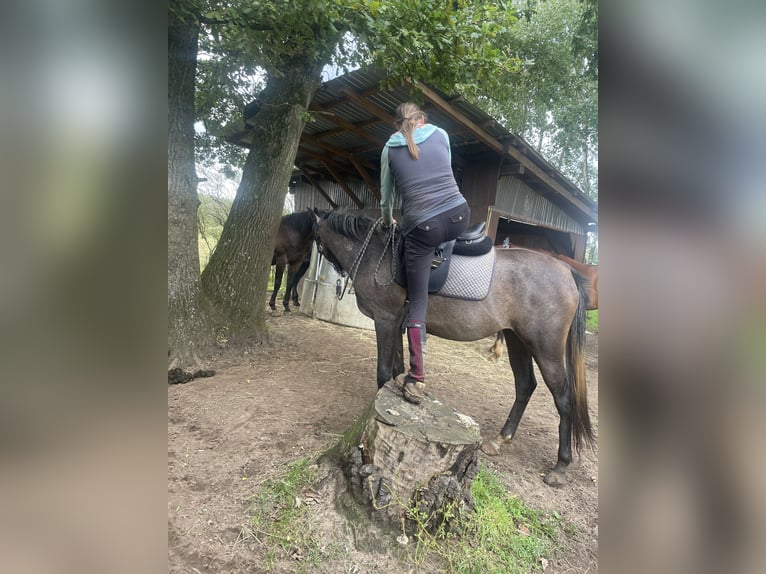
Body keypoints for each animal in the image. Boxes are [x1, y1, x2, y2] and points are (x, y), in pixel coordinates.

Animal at [316, 212, 596, 486]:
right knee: (526, 385)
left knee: (563, 397)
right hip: (517, 340)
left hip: (545, 347)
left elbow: (383, 373)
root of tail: (568, 272)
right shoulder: (396, 323)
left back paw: (560, 467)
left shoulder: (385, 320)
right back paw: (500, 440)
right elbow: (396, 369)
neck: (379, 254)